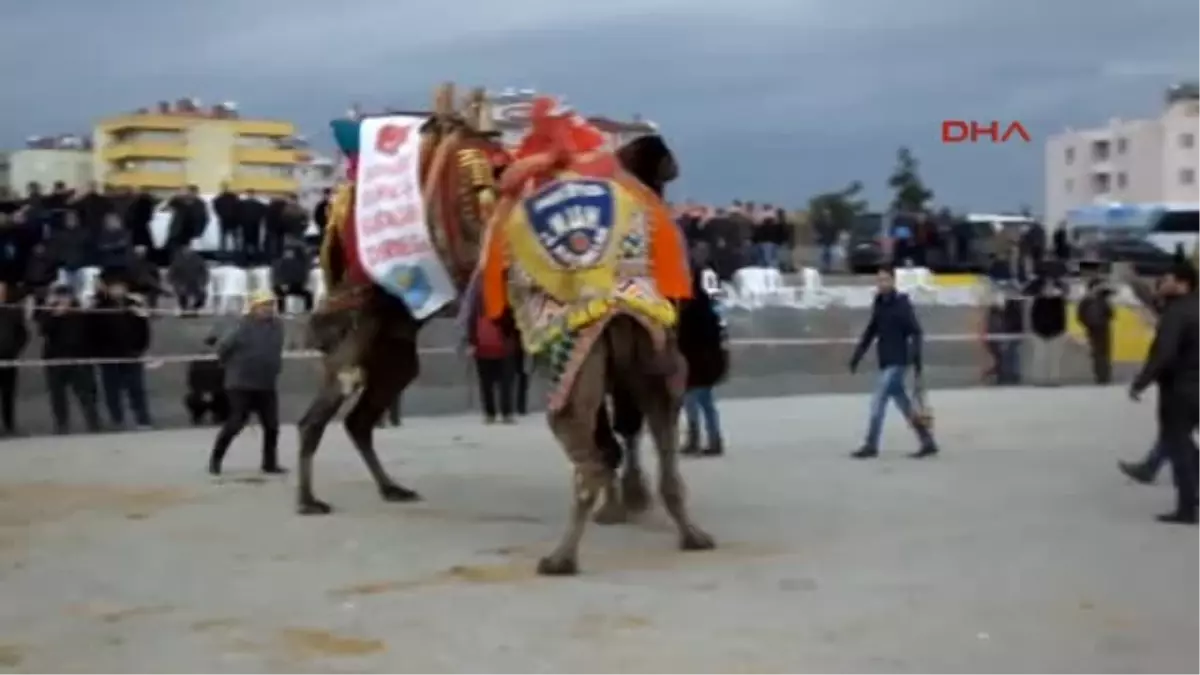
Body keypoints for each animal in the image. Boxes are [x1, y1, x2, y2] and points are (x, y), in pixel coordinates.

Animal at [480, 98, 710, 571]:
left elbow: (609, 440)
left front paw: (622, 504)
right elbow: (625, 432)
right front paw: (629, 501)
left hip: (575, 379)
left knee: (590, 463)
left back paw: (561, 557)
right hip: (657, 367)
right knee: (665, 460)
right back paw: (690, 533)